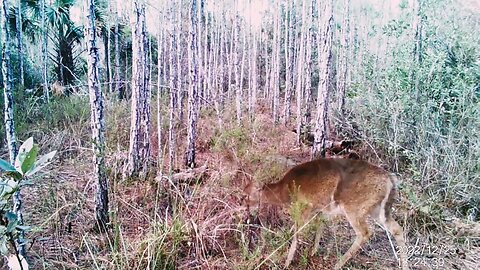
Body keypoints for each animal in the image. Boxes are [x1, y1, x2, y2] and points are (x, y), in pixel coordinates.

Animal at [244, 158, 408, 270]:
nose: (247, 212)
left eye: (246, 196)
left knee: (365, 233)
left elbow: (297, 234)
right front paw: (313, 251)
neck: (284, 191)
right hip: (378, 209)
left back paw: (337, 264)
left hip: (355, 208)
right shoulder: (320, 209)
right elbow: (319, 226)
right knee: (397, 229)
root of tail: (390, 181)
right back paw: (404, 265)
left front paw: (287, 262)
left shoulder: (305, 207)